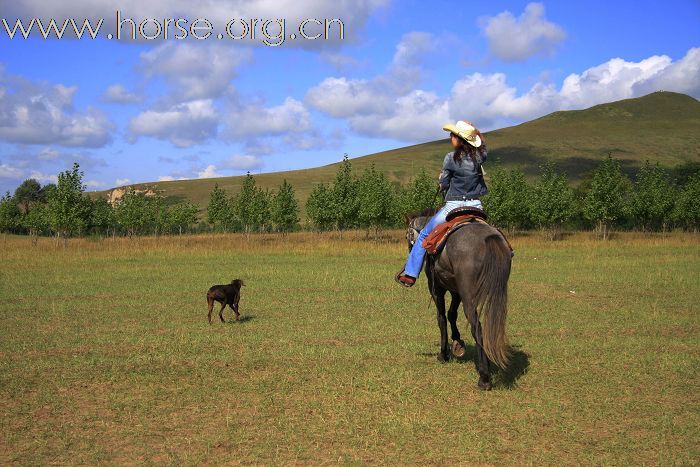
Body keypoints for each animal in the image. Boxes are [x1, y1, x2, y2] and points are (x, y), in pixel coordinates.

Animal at [402, 209, 512, 392]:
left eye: (407, 235)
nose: (409, 248)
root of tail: (488, 238)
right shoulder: (456, 291)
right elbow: (452, 313)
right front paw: (457, 342)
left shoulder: (436, 289)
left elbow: (441, 317)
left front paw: (443, 353)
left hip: (469, 297)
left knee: (477, 328)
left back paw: (484, 377)